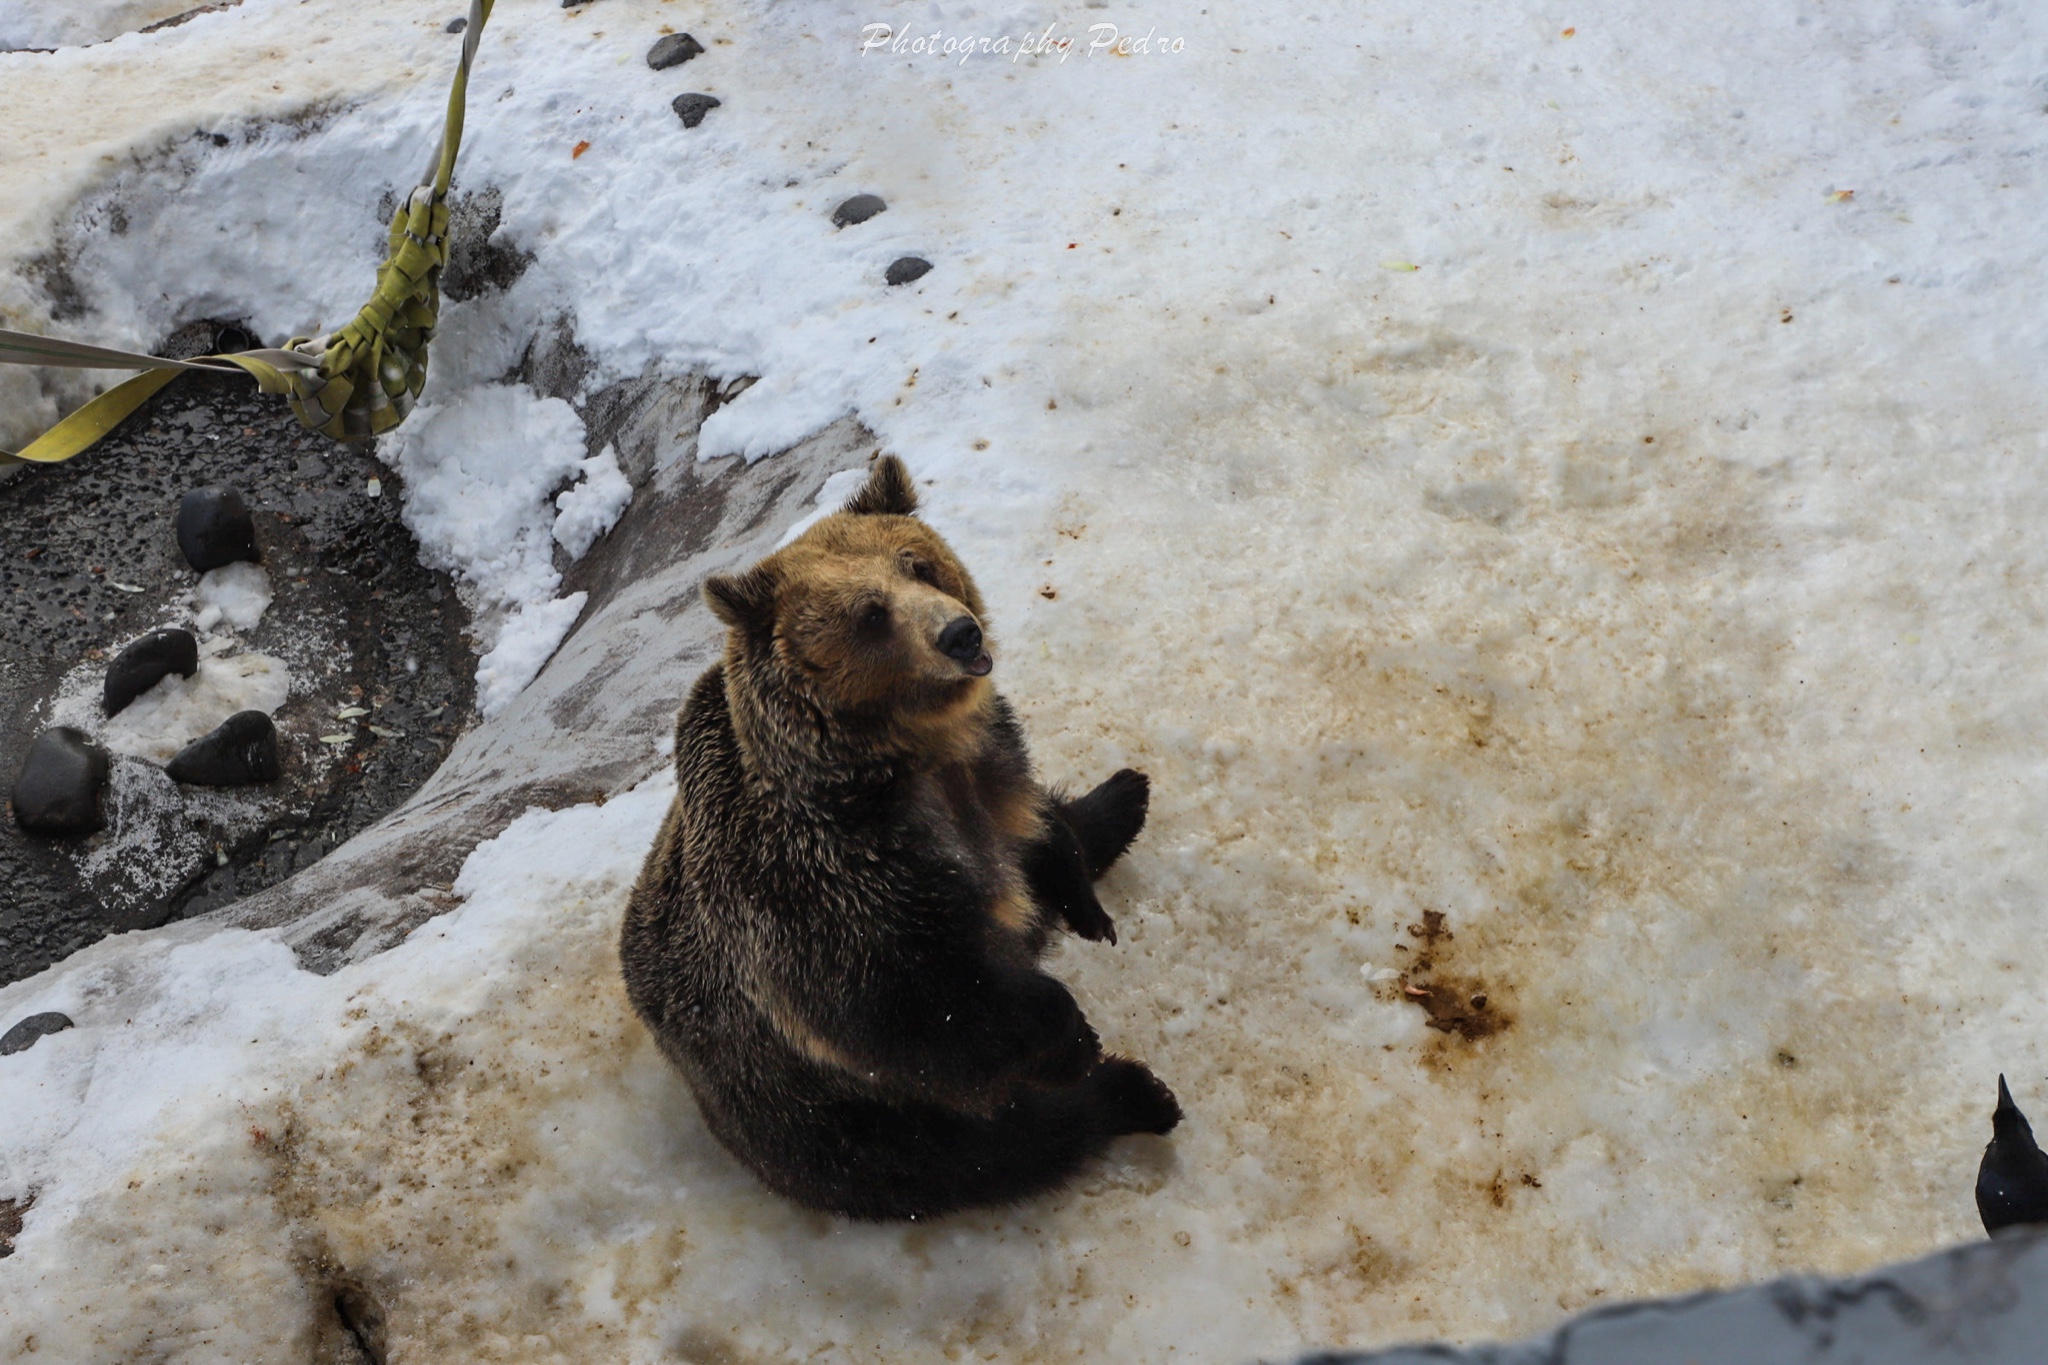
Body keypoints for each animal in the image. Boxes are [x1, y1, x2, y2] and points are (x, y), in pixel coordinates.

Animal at [614, 456, 1179, 1219]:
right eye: (870, 612)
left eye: (918, 563)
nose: (961, 634)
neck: (910, 760)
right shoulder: (825, 886)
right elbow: (919, 1005)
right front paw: (1077, 1036)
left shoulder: (994, 772)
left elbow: (1037, 832)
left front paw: (1087, 902)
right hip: (823, 1113)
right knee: (987, 1151)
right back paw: (1135, 1095)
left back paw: (1124, 795)